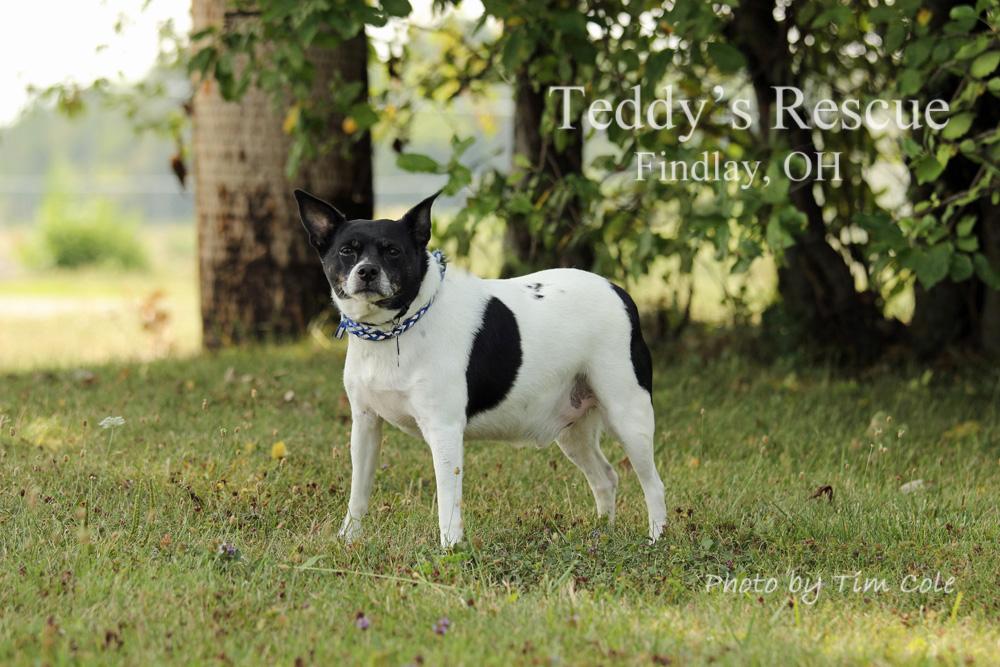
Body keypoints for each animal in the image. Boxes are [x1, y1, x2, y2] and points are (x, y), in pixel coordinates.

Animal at [292, 189, 668, 548]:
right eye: (347, 251)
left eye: (393, 251)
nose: (367, 271)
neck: (396, 328)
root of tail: (620, 293)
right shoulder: (366, 424)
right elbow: (359, 491)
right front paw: (349, 538)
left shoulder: (444, 430)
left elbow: (447, 502)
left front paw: (449, 549)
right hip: (573, 429)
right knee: (606, 477)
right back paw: (602, 532)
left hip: (628, 416)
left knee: (653, 484)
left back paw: (656, 538)